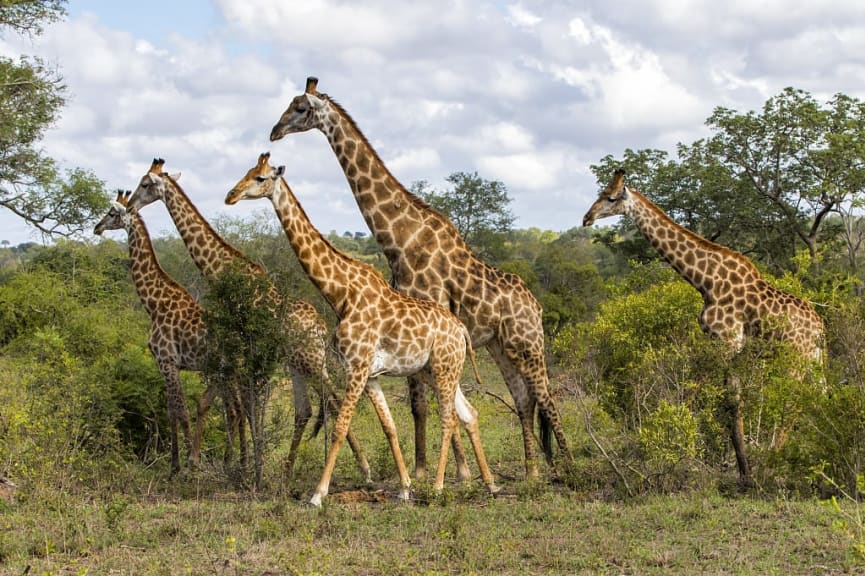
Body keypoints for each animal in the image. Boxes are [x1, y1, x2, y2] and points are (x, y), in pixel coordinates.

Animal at [94, 191, 240, 474]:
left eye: (112, 212)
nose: (97, 228)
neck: (153, 303)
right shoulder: (163, 364)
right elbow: (171, 412)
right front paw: (174, 464)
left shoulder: (168, 361)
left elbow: (181, 412)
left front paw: (189, 464)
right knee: (237, 409)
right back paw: (236, 461)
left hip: (224, 370)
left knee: (235, 409)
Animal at [126, 159, 370, 482]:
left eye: (145, 184)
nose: (129, 206)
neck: (222, 270)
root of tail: (320, 326)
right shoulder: (241, 355)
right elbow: (243, 406)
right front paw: (247, 465)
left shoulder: (243, 352)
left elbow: (245, 406)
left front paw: (248, 468)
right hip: (298, 362)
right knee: (308, 409)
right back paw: (290, 469)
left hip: (308, 359)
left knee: (332, 400)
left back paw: (363, 467)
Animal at [266, 76, 572, 482]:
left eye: (300, 108)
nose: (274, 131)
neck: (400, 240)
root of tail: (535, 304)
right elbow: (420, 405)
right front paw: (435, 470)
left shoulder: (429, 318)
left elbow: (430, 404)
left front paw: (448, 472)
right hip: (500, 346)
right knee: (524, 400)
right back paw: (532, 472)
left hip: (528, 343)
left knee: (547, 399)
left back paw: (568, 468)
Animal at [580, 168, 824, 486]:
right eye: (600, 194)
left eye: (610, 198)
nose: (586, 218)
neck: (705, 281)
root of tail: (820, 327)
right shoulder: (727, 346)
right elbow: (732, 405)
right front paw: (742, 470)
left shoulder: (726, 341)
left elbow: (694, 394)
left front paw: (671, 444)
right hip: (814, 360)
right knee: (820, 397)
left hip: (794, 358)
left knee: (792, 403)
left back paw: (774, 463)